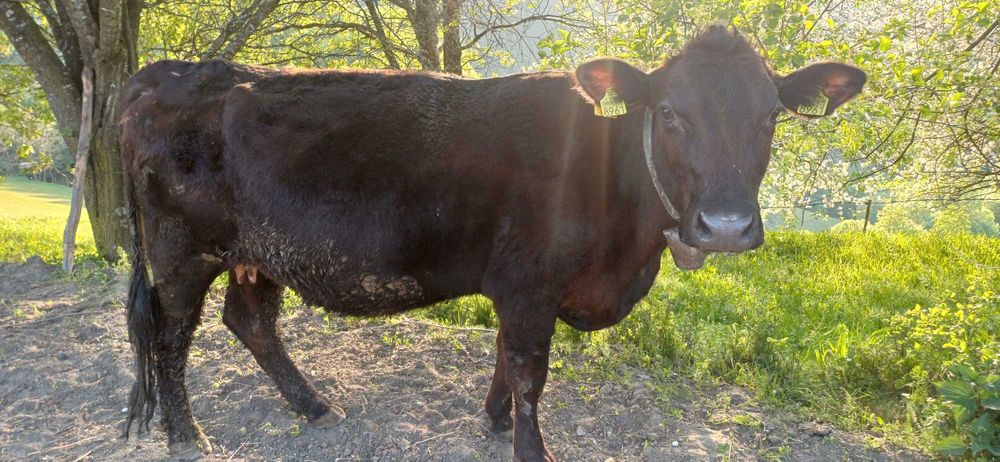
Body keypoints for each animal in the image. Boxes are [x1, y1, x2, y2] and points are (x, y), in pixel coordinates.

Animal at [118, 24, 865, 461]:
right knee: (172, 336)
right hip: (181, 252)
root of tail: (175, 71)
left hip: (258, 253)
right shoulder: (531, 283)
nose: (727, 225)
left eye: (770, 117)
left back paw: (314, 405)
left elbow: (507, 359)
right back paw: (186, 435)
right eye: (670, 112)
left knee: (249, 321)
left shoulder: (521, 286)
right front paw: (532, 448)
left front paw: (495, 420)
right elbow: (532, 370)